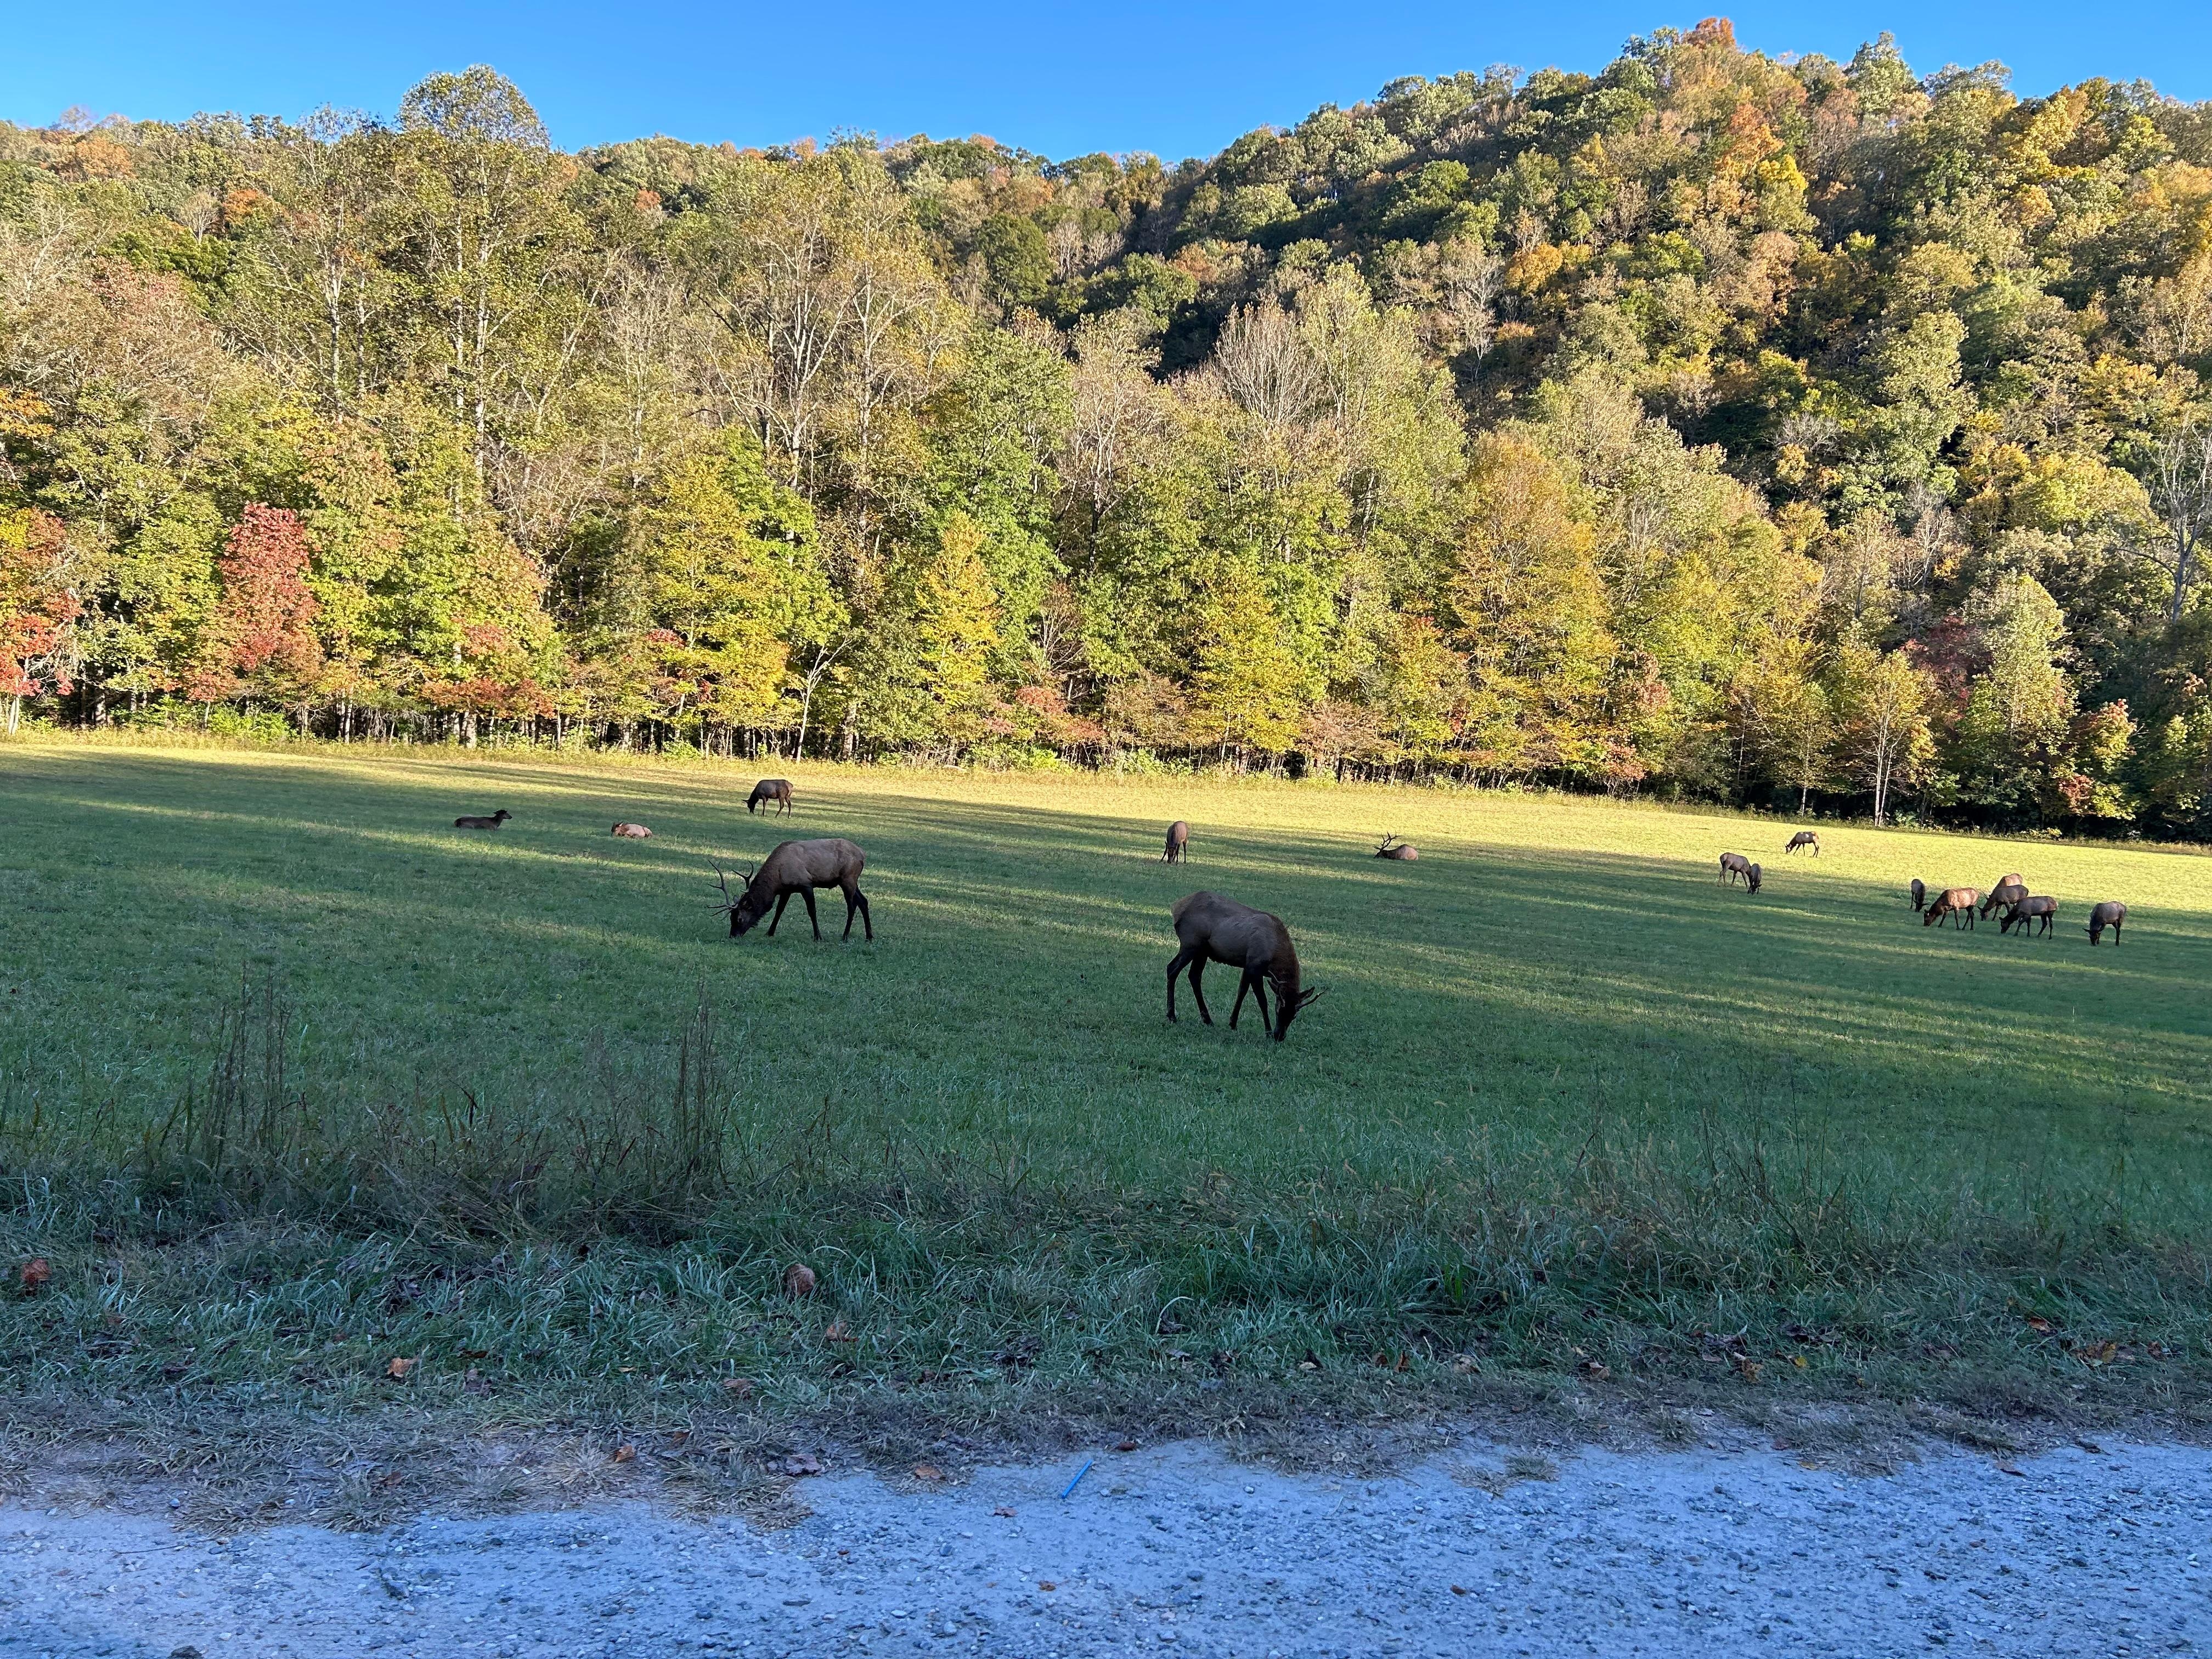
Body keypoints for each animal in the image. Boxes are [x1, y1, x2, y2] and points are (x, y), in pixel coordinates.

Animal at [713, 839, 872, 941]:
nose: (733, 936)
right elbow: (779, 910)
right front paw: (770, 933)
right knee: (863, 901)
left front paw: (818, 937)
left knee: (852, 906)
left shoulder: (806, 884)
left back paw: (845, 936)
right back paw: (869, 936)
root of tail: (863, 854)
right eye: (731, 918)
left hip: (848, 879)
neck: (777, 879)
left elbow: (812, 911)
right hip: (851, 881)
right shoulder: (787, 890)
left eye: (739, 919)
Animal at [1165, 891, 1323, 1042]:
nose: (1279, 1036)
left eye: (1294, 1015)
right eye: (1278, 1009)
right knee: (1172, 968)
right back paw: (1172, 1016)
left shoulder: (1247, 967)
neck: (1275, 956)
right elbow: (1262, 1001)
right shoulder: (1255, 966)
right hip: (1191, 944)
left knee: (1194, 976)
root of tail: (1176, 908)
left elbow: (1241, 992)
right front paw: (1268, 1032)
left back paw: (1207, 1019)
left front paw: (1233, 1023)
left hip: (1202, 951)